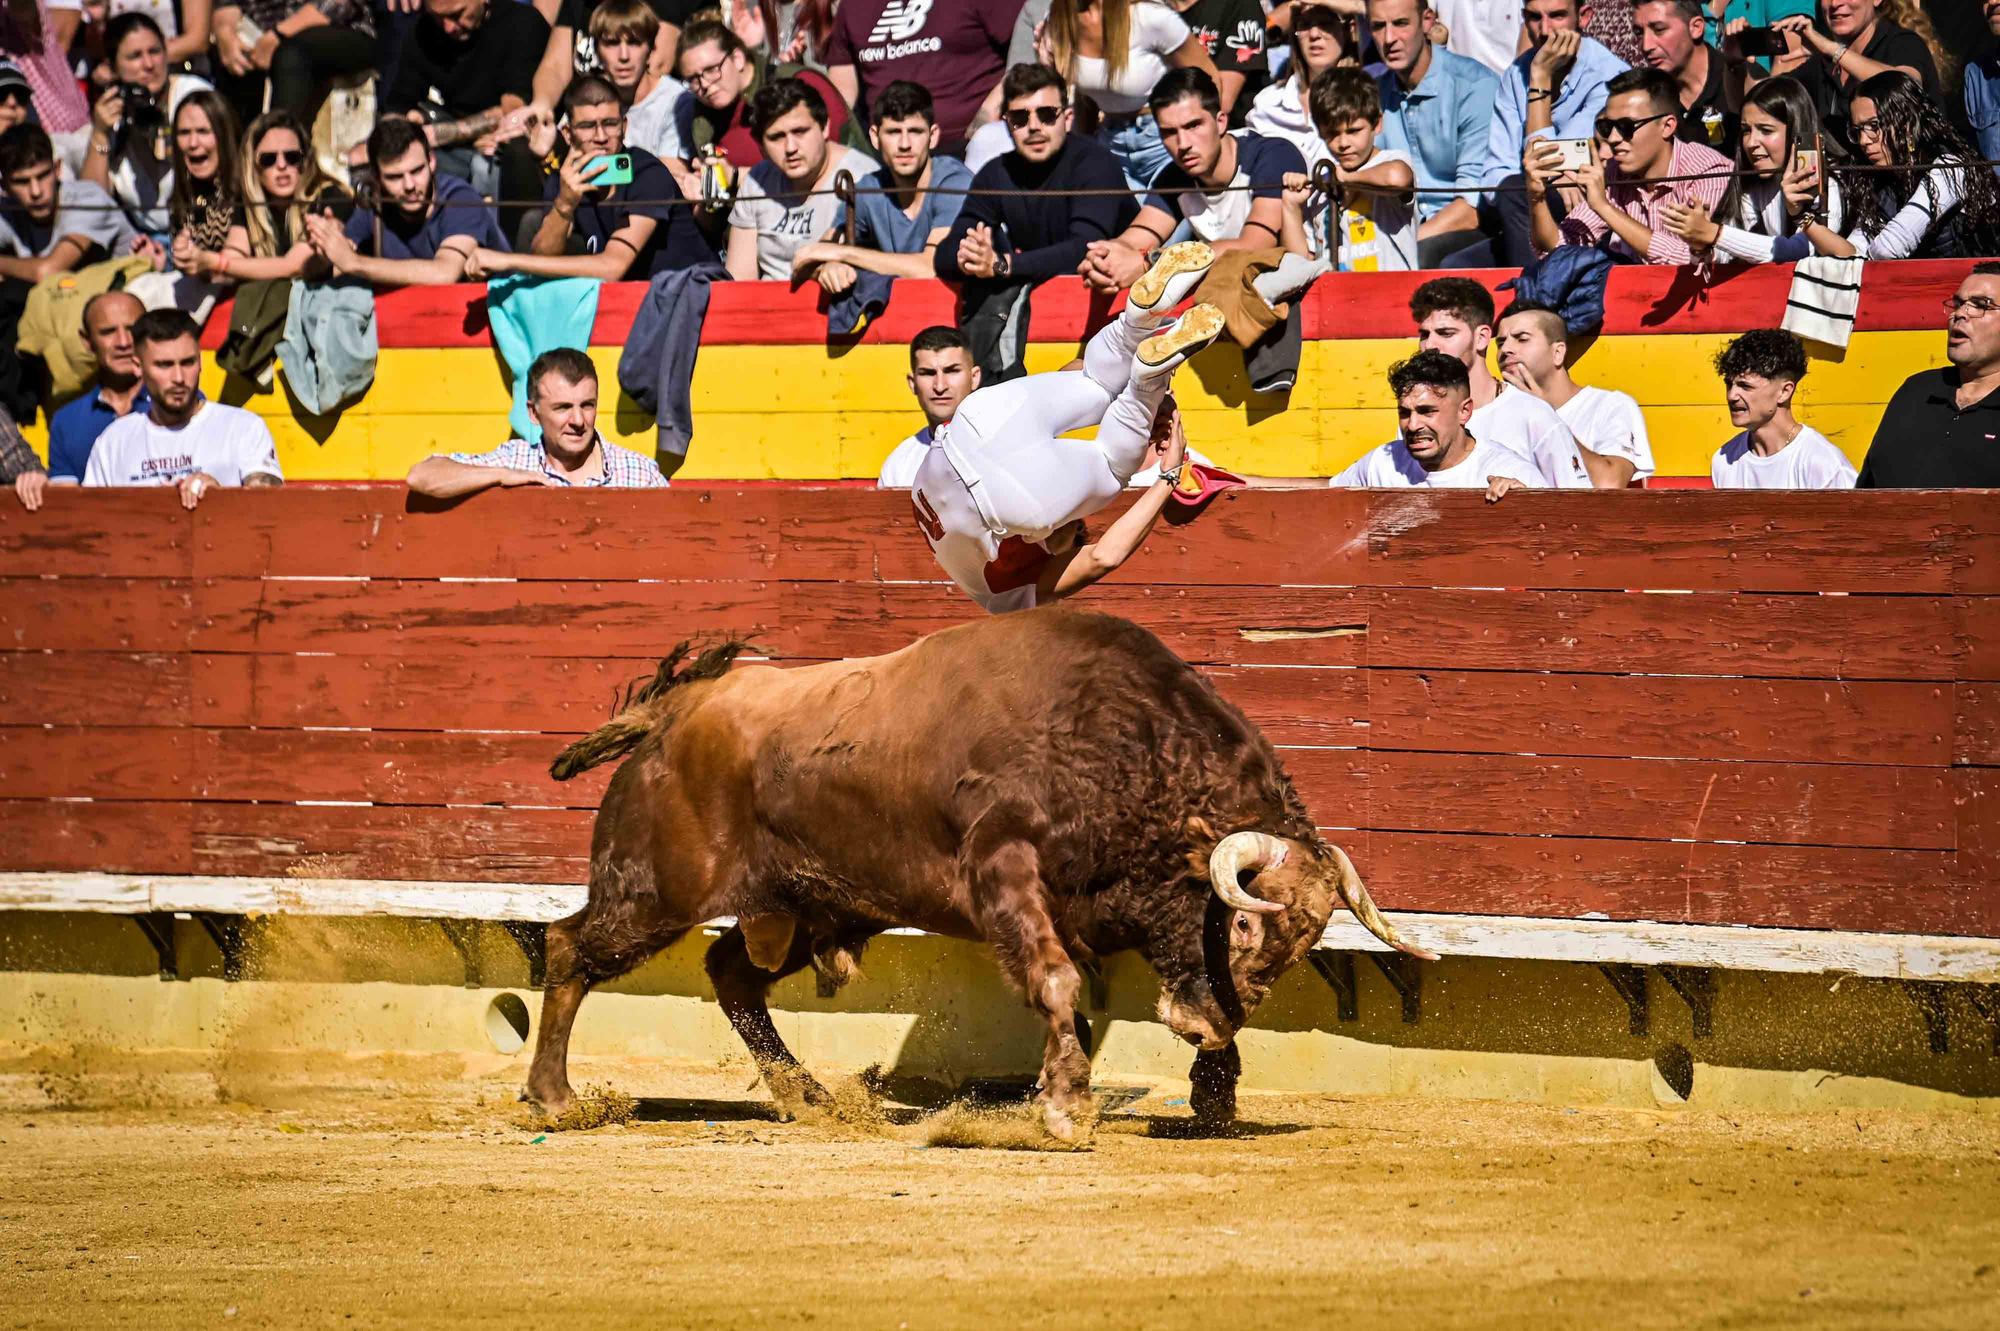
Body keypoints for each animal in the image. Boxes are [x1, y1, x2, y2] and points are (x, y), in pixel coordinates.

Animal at [540, 607, 1432, 1135]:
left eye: (1303, 944)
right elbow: (1057, 980)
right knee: (569, 947)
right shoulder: (1002, 870)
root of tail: (678, 710)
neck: (1123, 750)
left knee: (731, 972)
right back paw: (556, 1096)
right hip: (655, 890)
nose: (1209, 1027)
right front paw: (1067, 1108)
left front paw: (1213, 1092)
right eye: (1242, 919)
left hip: (805, 903)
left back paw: (806, 1096)